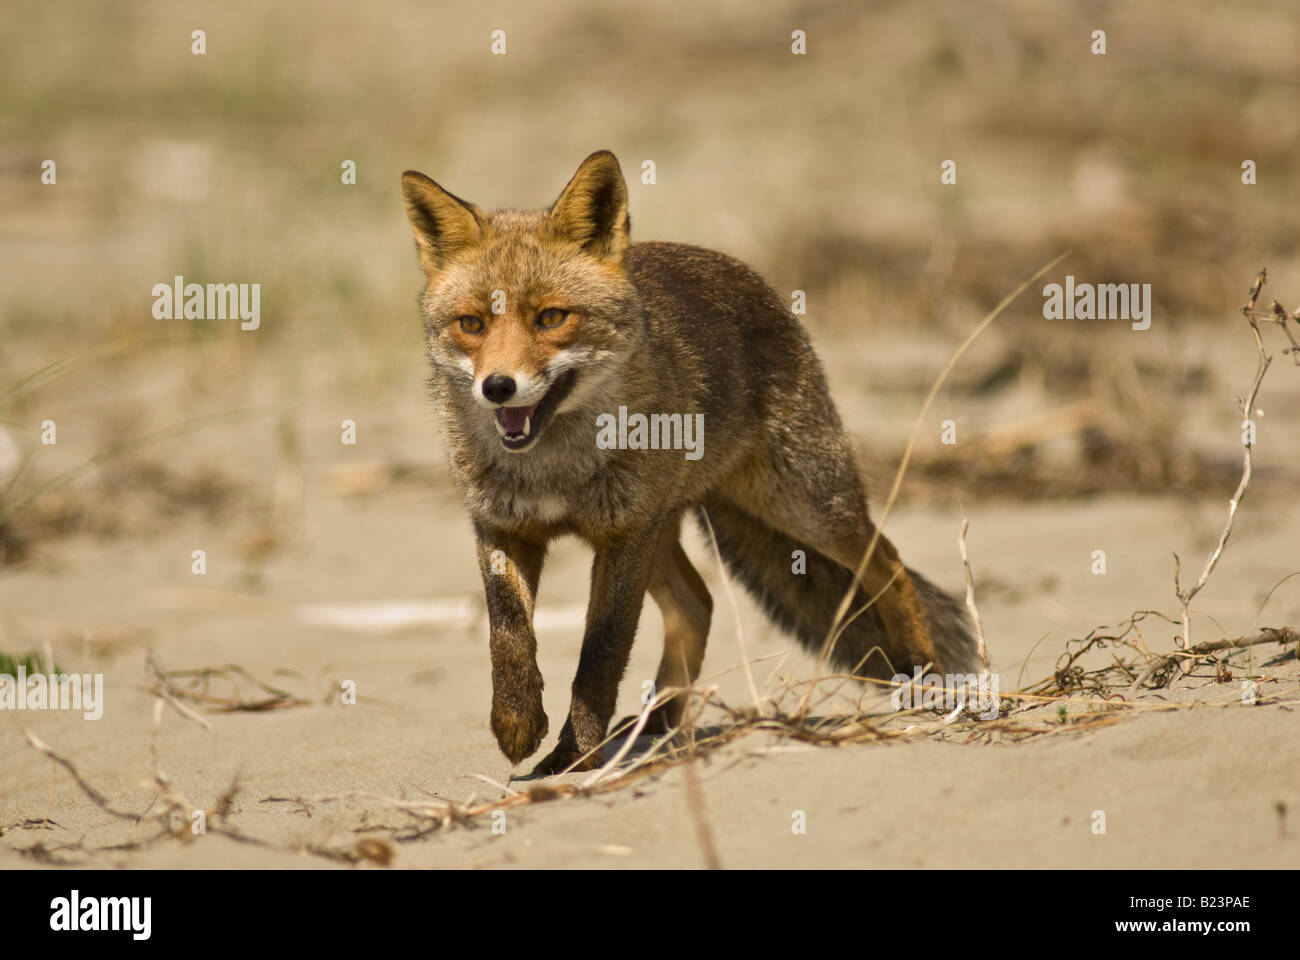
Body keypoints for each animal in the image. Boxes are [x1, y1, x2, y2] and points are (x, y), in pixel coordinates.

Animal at [400, 151, 977, 780]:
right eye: (472, 325)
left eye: (552, 318)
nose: (498, 387)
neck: (554, 468)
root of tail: (736, 269)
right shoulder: (503, 526)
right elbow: (506, 633)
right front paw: (518, 723)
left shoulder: (625, 535)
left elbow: (600, 655)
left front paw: (575, 756)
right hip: (672, 531)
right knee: (697, 604)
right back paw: (657, 723)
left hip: (802, 504)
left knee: (888, 564)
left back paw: (926, 676)